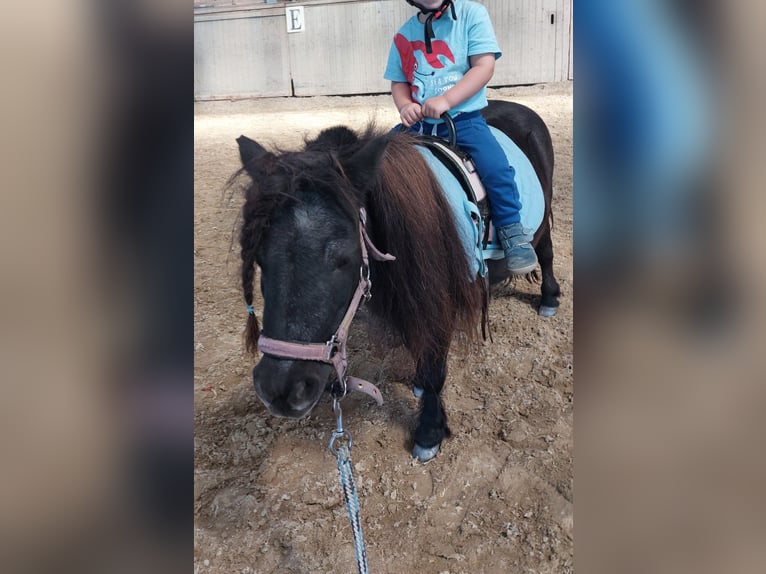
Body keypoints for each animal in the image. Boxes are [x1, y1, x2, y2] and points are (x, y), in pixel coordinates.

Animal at [235, 100, 560, 461]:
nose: (279, 389)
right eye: (259, 257)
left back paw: (549, 297)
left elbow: (435, 370)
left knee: (545, 253)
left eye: (344, 258)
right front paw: (417, 382)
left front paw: (429, 431)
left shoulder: (440, 302)